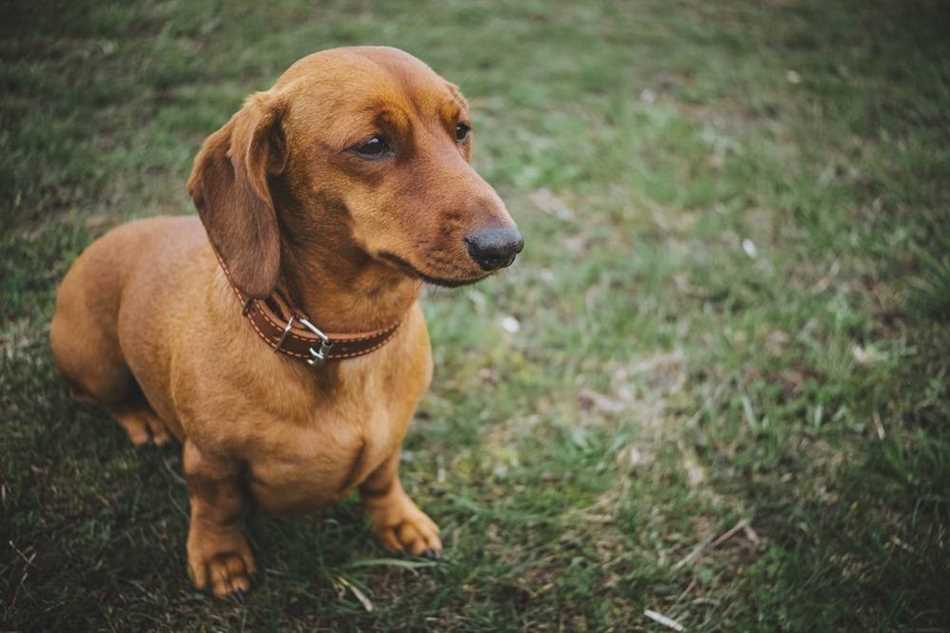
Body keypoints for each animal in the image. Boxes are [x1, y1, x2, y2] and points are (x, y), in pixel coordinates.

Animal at [49, 45, 524, 596]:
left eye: (461, 129)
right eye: (373, 144)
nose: (505, 246)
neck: (340, 342)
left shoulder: (391, 442)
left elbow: (382, 478)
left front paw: (399, 521)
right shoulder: (209, 460)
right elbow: (217, 505)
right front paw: (220, 555)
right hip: (96, 362)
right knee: (98, 396)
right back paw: (141, 419)